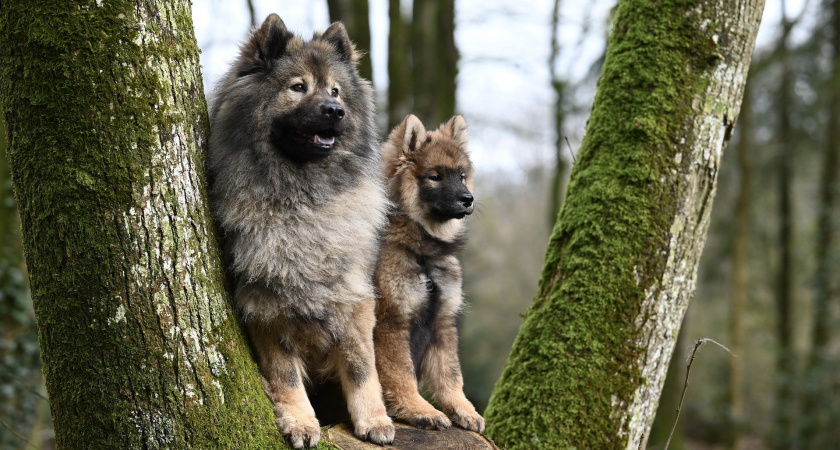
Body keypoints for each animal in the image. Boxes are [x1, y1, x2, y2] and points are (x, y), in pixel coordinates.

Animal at [207, 13, 398, 446]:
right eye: (298, 88)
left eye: (335, 90)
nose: (334, 110)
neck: (304, 204)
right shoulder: (265, 307)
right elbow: (285, 376)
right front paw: (300, 422)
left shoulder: (353, 298)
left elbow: (362, 367)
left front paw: (374, 420)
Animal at [374, 115, 486, 432]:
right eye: (435, 176)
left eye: (461, 175)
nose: (468, 199)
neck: (422, 254)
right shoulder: (391, 322)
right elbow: (402, 374)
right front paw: (418, 409)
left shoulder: (442, 322)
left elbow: (451, 375)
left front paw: (464, 410)